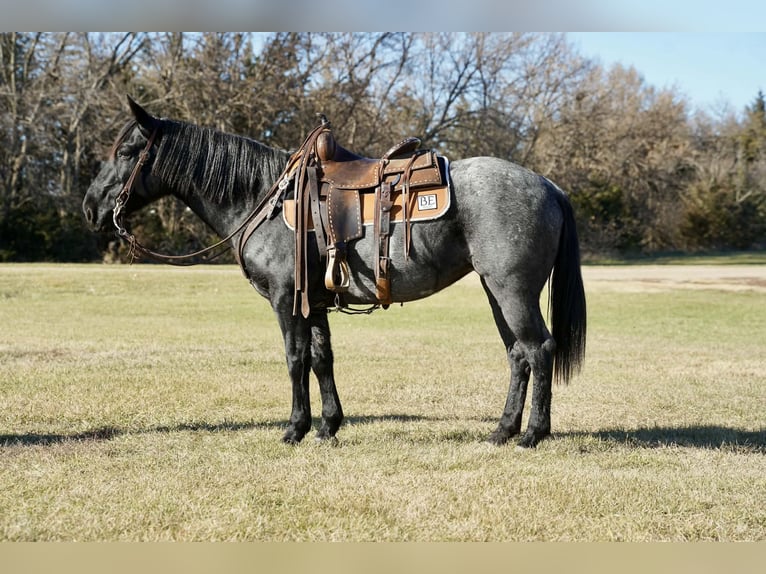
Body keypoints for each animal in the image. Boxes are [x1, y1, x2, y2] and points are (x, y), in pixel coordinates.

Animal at [82, 96, 586, 449]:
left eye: (127, 151)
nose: (90, 207)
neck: (263, 198)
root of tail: (548, 186)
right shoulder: (315, 302)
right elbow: (322, 359)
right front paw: (328, 426)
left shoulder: (287, 299)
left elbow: (295, 359)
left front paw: (294, 428)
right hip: (494, 290)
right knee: (518, 355)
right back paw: (502, 431)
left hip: (512, 290)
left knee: (539, 349)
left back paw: (532, 434)